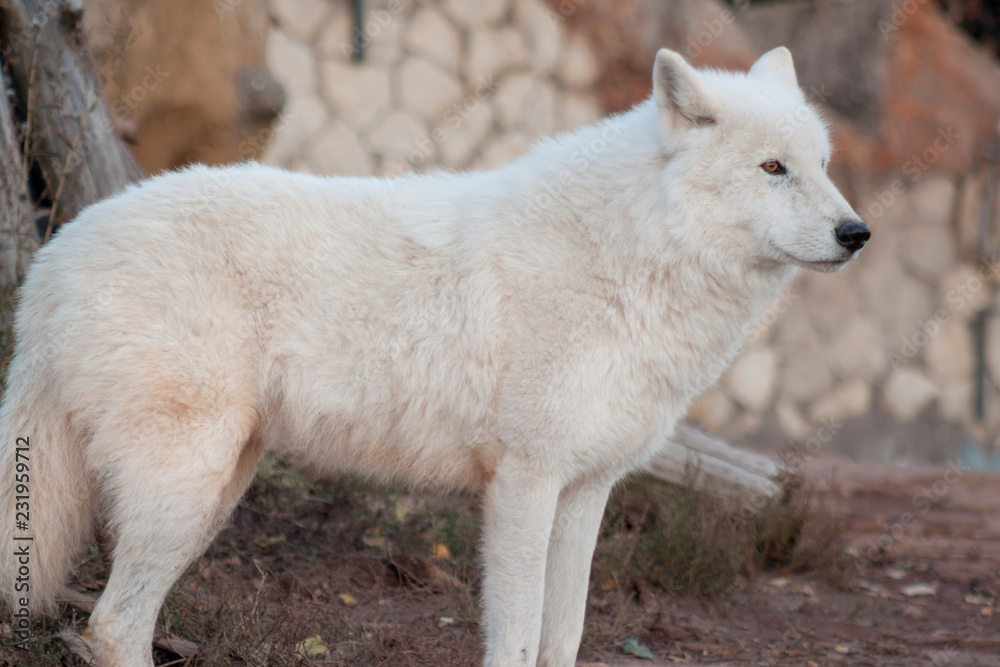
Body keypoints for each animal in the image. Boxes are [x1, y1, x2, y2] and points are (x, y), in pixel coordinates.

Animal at [0, 47, 867, 666]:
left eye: (824, 166)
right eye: (772, 168)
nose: (858, 233)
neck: (631, 255)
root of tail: (52, 258)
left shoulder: (586, 490)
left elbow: (565, 636)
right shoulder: (523, 482)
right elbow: (516, 639)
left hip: (216, 488)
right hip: (186, 486)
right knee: (112, 625)